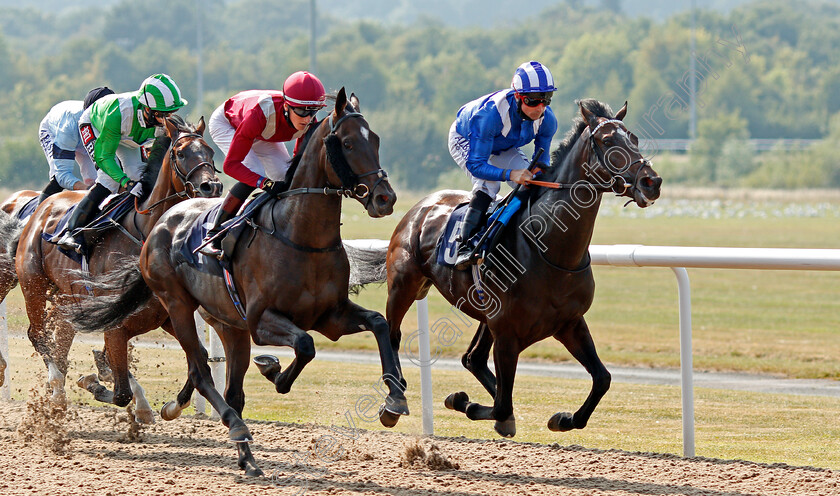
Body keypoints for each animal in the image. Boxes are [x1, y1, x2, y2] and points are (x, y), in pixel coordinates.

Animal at [13, 117, 221, 418]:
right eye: (180, 153)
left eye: (210, 152)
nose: (211, 187)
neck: (144, 232)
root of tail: (42, 206)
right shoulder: (116, 325)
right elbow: (119, 390)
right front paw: (95, 382)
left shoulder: (164, 315)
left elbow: (200, 358)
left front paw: (170, 406)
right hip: (34, 286)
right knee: (37, 334)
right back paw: (57, 385)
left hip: (68, 298)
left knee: (59, 339)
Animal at [65, 89, 400, 476]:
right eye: (347, 143)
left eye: (375, 140)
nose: (385, 198)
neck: (300, 236)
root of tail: (159, 224)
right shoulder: (261, 321)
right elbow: (305, 345)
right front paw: (273, 370)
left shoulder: (329, 315)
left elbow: (378, 323)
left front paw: (395, 400)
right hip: (178, 306)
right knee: (199, 371)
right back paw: (231, 426)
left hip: (227, 324)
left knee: (228, 388)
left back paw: (245, 455)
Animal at [380, 100, 664, 438]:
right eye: (608, 141)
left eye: (634, 138)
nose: (651, 182)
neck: (551, 249)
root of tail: (421, 206)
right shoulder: (507, 332)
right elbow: (502, 405)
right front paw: (464, 402)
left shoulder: (569, 323)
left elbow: (602, 379)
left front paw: (563, 419)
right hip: (404, 285)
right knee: (393, 334)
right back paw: (394, 401)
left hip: (484, 312)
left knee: (473, 359)